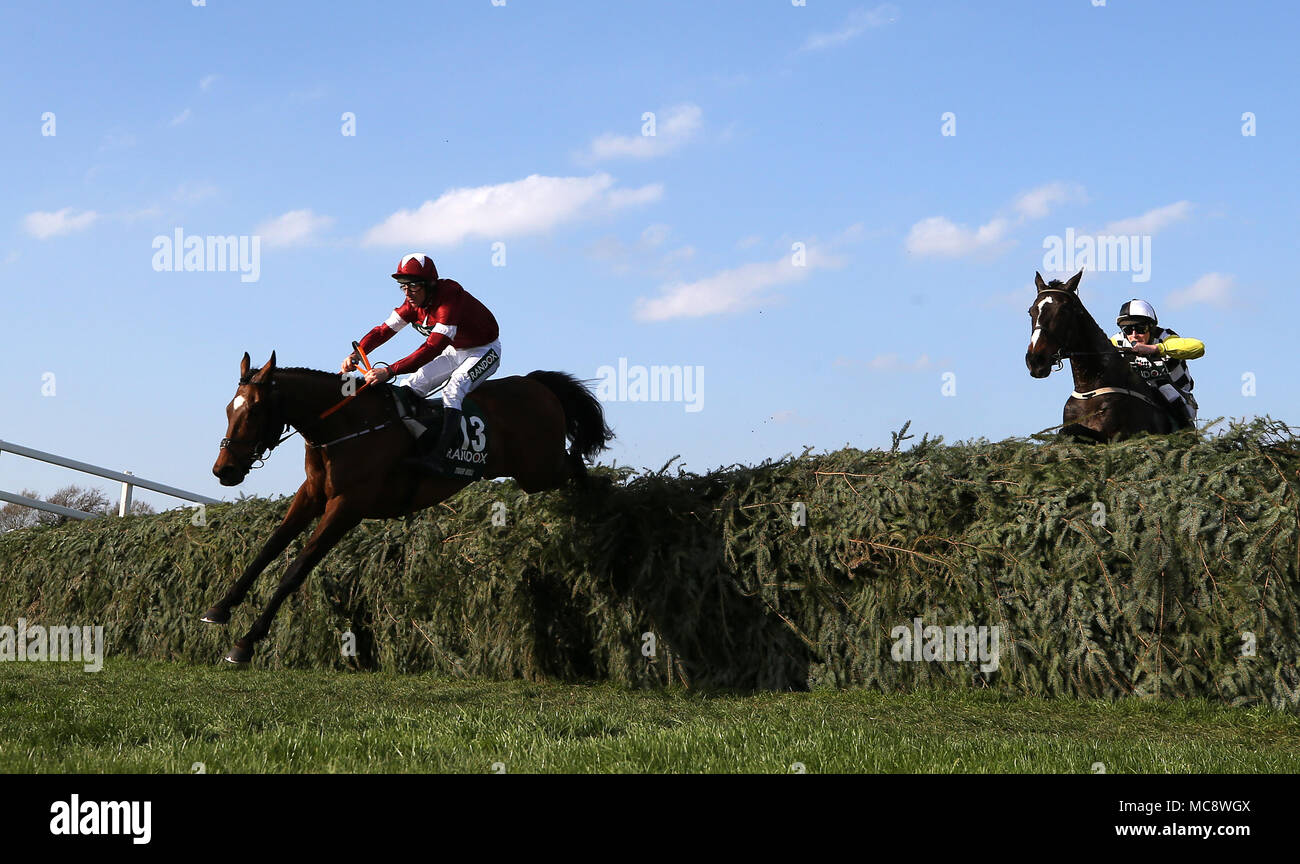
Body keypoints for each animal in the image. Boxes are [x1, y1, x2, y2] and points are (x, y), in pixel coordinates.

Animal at [202, 353, 613, 662]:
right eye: (229, 409)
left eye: (254, 412)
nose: (225, 470)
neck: (346, 426)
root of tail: (535, 384)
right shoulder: (312, 495)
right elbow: (268, 549)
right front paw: (220, 608)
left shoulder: (348, 506)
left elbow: (296, 569)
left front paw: (246, 642)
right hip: (536, 472)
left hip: (540, 469)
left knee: (579, 466)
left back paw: (598, 505)